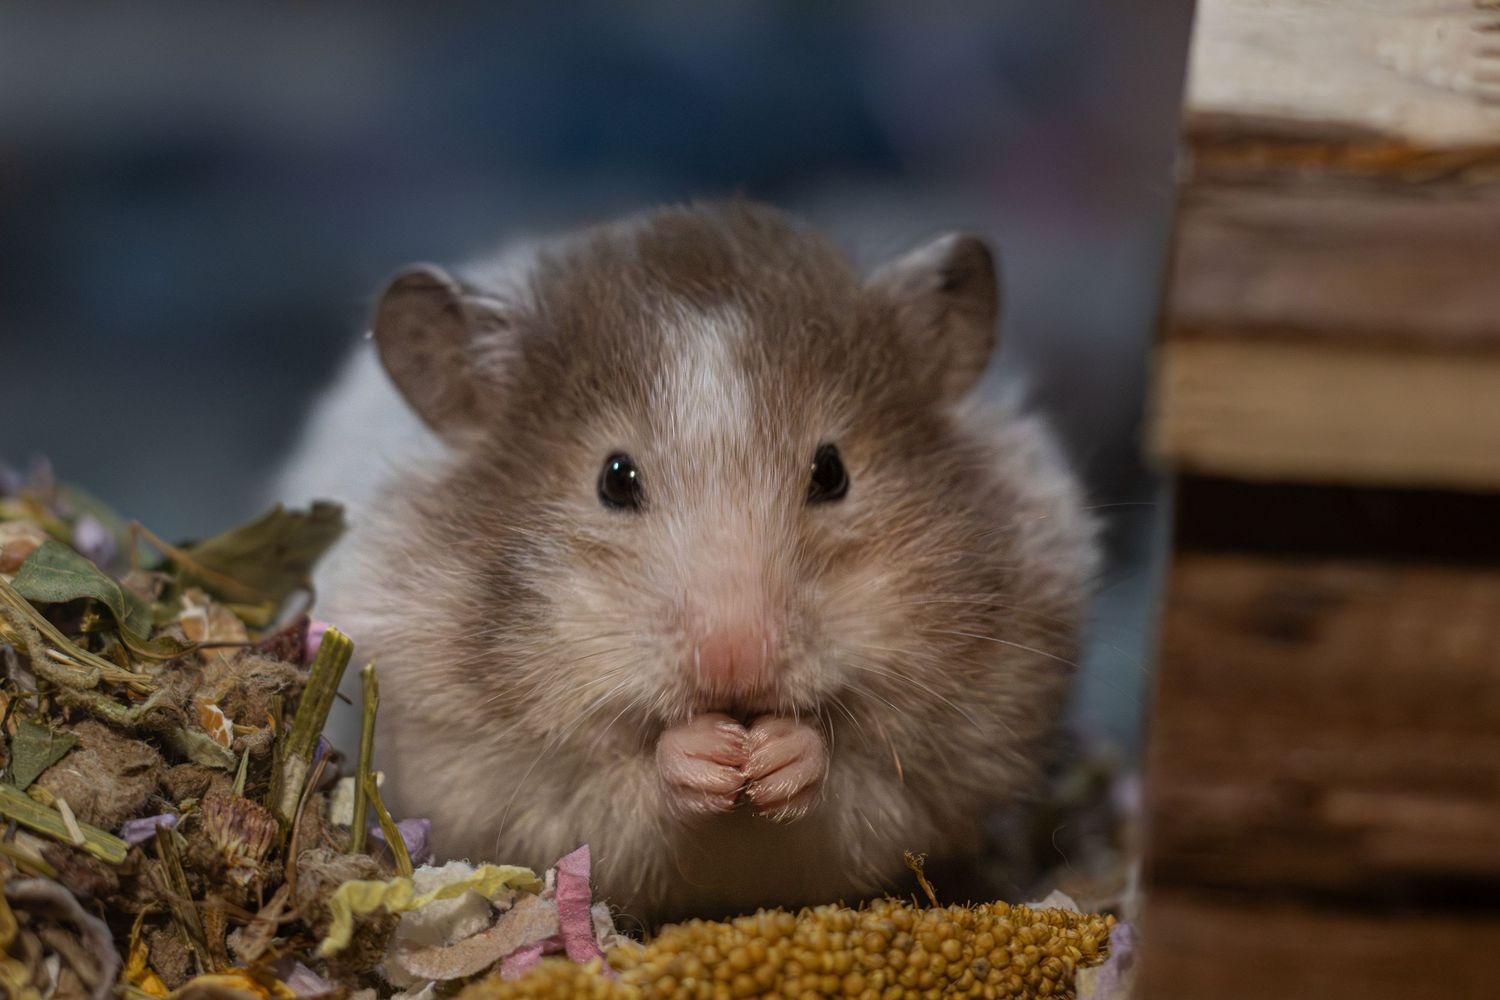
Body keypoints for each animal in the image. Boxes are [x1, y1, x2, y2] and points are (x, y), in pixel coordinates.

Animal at [272, 201, 1097, 922]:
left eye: (833, 472)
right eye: (614, 478)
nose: (738, 664)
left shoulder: (947, 757)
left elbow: (852, 774)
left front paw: (773, 759)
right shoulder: (490, 777)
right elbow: (620, 786)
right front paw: (712, 758)